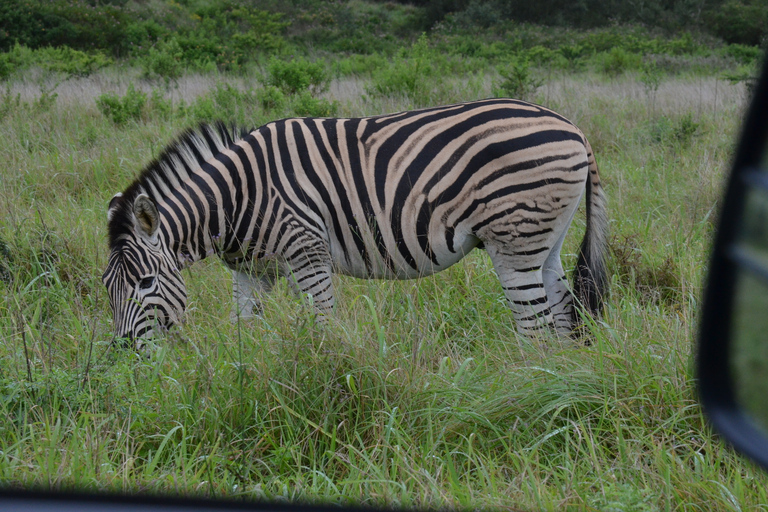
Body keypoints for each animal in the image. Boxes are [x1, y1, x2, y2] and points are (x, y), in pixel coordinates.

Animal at [102, 97, 608, 344]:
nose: (124, 350)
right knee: (564, 317)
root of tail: (573, 128)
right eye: (108, 288)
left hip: (513, 242)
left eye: (145, 283)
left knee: (536, 327)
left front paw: (323, 380)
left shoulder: (307, 255)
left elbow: (323, 327)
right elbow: (246, 331)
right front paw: (247, 381)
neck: (236, 198)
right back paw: (558, 388)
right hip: (546, 240)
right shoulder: (251, 271)